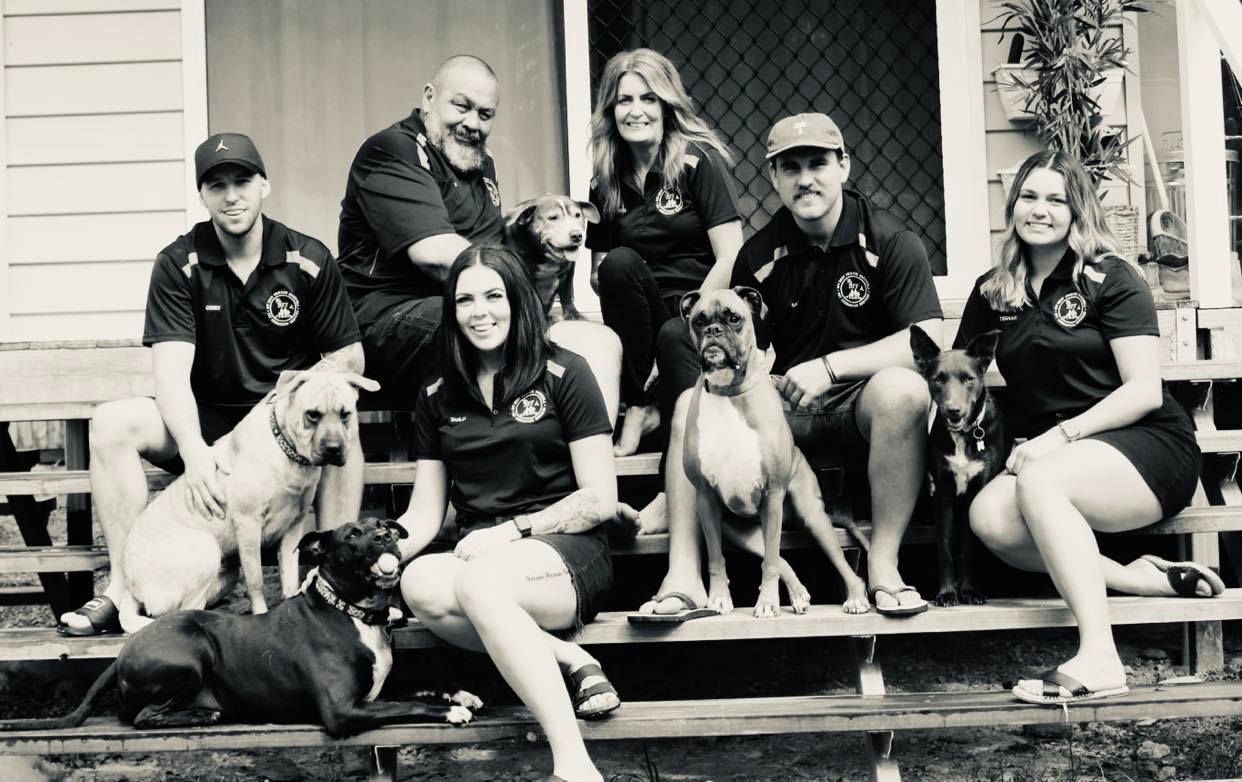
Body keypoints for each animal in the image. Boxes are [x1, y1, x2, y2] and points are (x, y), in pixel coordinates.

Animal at [0, 521, 481, 739]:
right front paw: (449, 712)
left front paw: (459, 693)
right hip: (192, 651)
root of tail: (122, 654)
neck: (354, 612)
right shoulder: (342, 710)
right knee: (140, 716)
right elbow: (404, 704)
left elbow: (413, 688)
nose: (386, 537)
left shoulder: (378, 685)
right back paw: (203, 713)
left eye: (383, 526)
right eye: (351, 534)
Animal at [116, 369, 377, 635]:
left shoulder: (293, 527)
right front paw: (260, 613)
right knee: (183, 609)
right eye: (312, 414)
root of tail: (130, 587)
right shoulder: (248, 524)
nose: (334, 448)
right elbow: (255, 580)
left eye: (345, 414)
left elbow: (289, 575)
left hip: (225, 574)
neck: (288, 452)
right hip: (206, 549)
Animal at [675, 287, 869, 618]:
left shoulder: (772, 493)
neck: (729, 392)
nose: (713, 331)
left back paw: (855, 597)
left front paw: (767, 602)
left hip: (811, 515)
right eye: (699, 321)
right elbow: (716, 558)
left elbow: (770, 562)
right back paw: (798, 593)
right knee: (778, 557)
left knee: (836, 564)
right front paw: (719, 597)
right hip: (738, 530)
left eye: (733, 318)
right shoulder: (706, 497)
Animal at [914, 327, 1008, 610]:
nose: (953, 411)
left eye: (968, 379)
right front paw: (947, 593)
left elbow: (968, 548)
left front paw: (969, 591)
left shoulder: (974, 494)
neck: (964, 435)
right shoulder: (943, 494)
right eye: (938, 379)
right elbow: (945, 550)